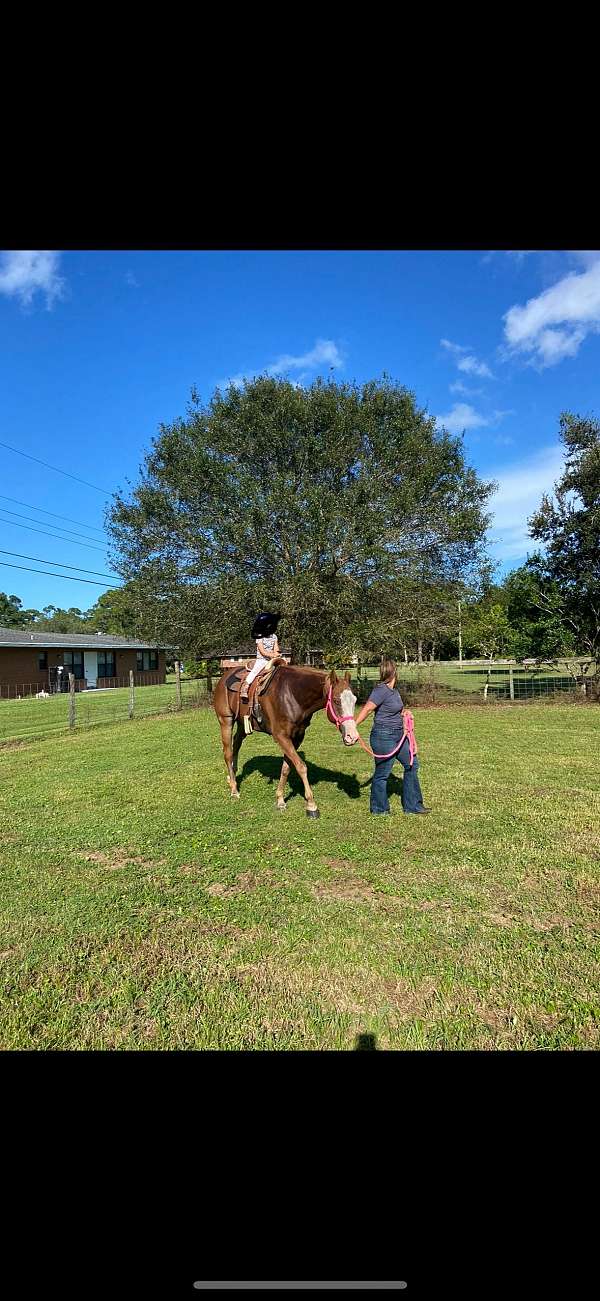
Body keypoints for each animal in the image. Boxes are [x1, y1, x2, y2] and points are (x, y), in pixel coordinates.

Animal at [213, 666, 356, 817]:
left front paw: (280, 800)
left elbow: (286, 768)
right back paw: (234, 790)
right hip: (225, 721)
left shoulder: (297, 737)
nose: (352, 736)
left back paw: (232, 778)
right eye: (336, 700)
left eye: (355, 700)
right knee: (228, 753)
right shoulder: (281, 736)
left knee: (236, 745)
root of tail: (224, 677)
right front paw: (311, 805)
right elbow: (301, 766)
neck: (293, 695)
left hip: (242, 723)